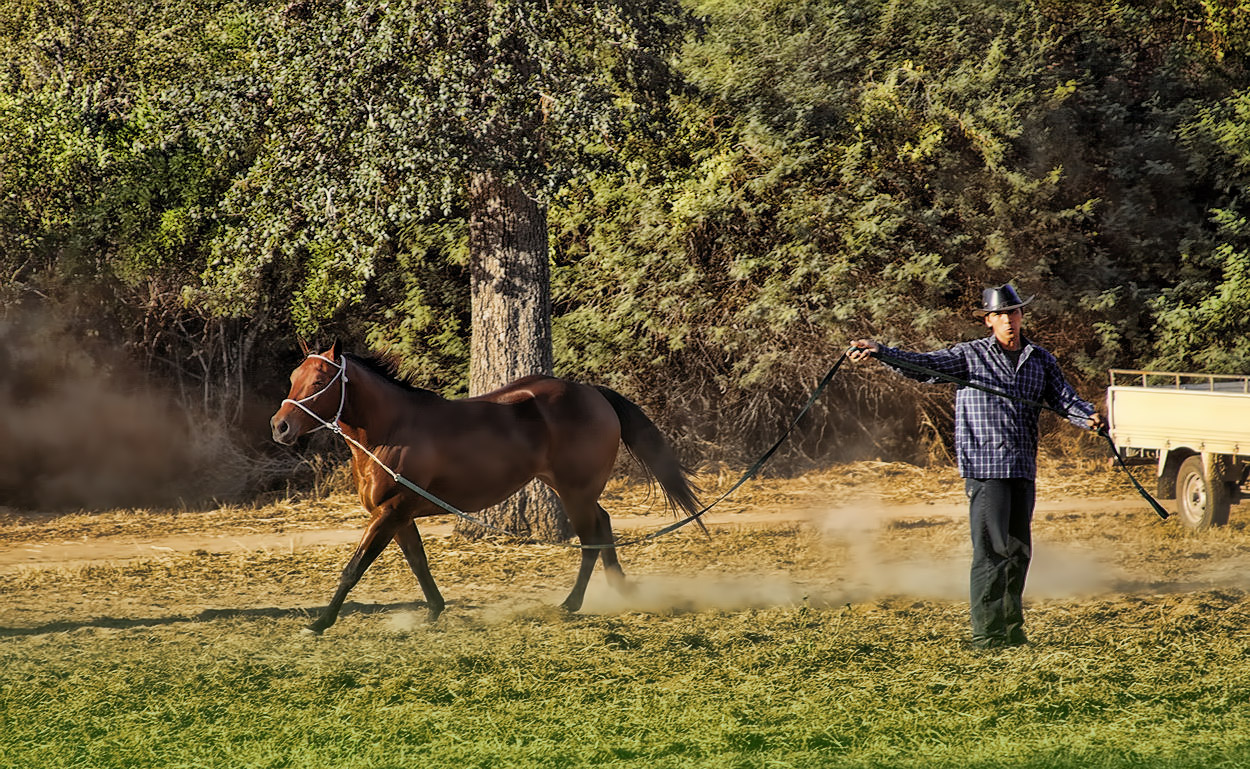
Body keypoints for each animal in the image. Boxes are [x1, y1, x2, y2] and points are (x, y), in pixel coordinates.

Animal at [270, 340, 700, 635]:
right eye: (293, 378)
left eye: (320, 380)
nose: (280, 427)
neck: (390, 431)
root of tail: (593, 393)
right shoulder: (399, 515)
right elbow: (419, 563)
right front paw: (434, 610)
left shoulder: (390, 512)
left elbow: (353, 568)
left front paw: (320, 623)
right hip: (572, 489)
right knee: (605, 524)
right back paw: (619, 588)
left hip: (575, 492)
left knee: (591, 539)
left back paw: (572, 602)